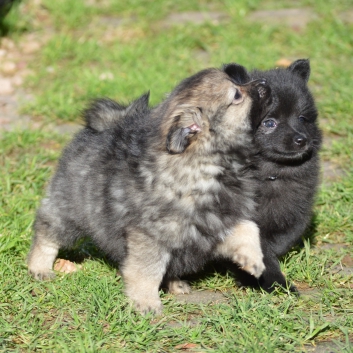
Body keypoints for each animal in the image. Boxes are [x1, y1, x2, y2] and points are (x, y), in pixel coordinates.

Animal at [27, 64, 270, 314]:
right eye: (237, 95)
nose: (264, 83)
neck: (208, 165)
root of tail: (107, 123)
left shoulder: (218, 221)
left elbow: (249, 228)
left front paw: (253, 260)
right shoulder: (150, 236)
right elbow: (147, 271)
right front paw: (146, 302)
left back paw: (176, 283)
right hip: (69, 209)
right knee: (47, 231)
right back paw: (40, 266)